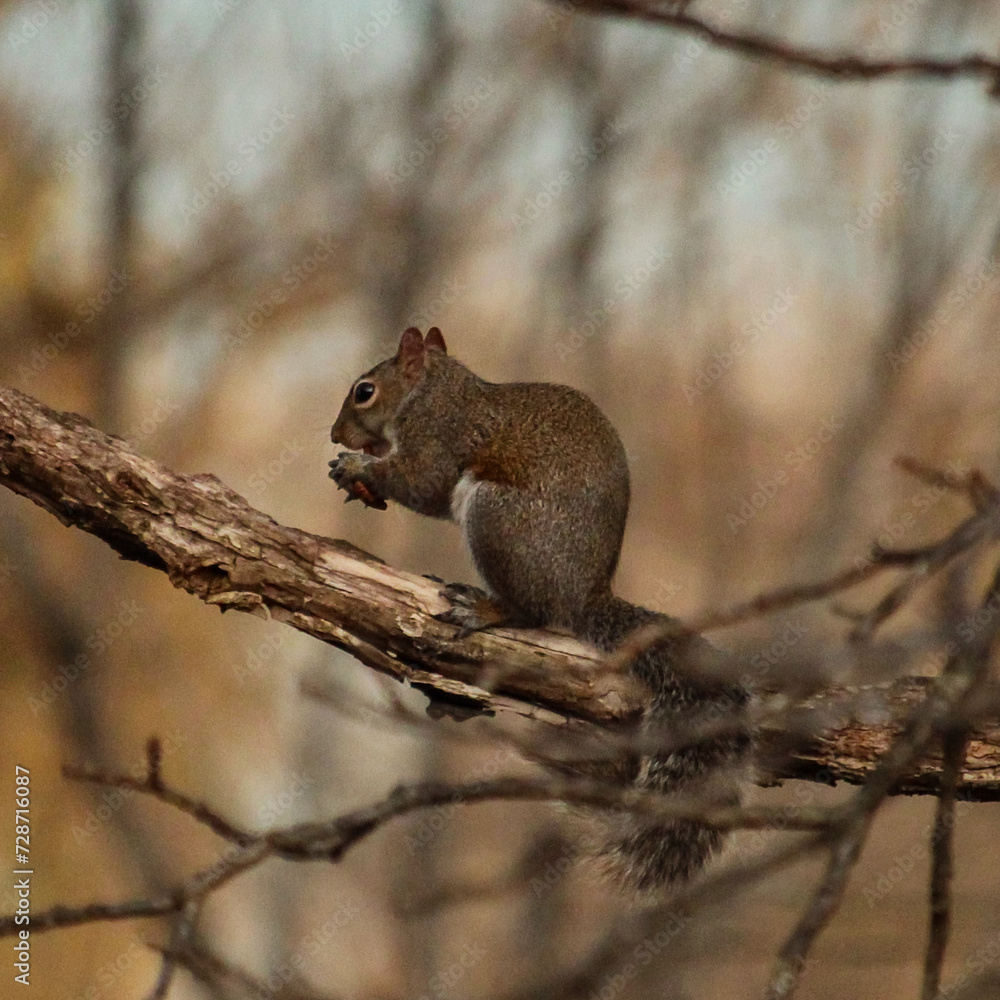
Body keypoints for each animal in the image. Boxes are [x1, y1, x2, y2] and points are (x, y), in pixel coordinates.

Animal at [329, 326, 749, 890]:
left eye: (364, 391)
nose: (336, 435)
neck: (432, 393)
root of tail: (583, 595)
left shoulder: (439, 440)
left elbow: (423, 484)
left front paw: (358, 468)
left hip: (497, 517)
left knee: (531, 613)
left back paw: (485, 609)